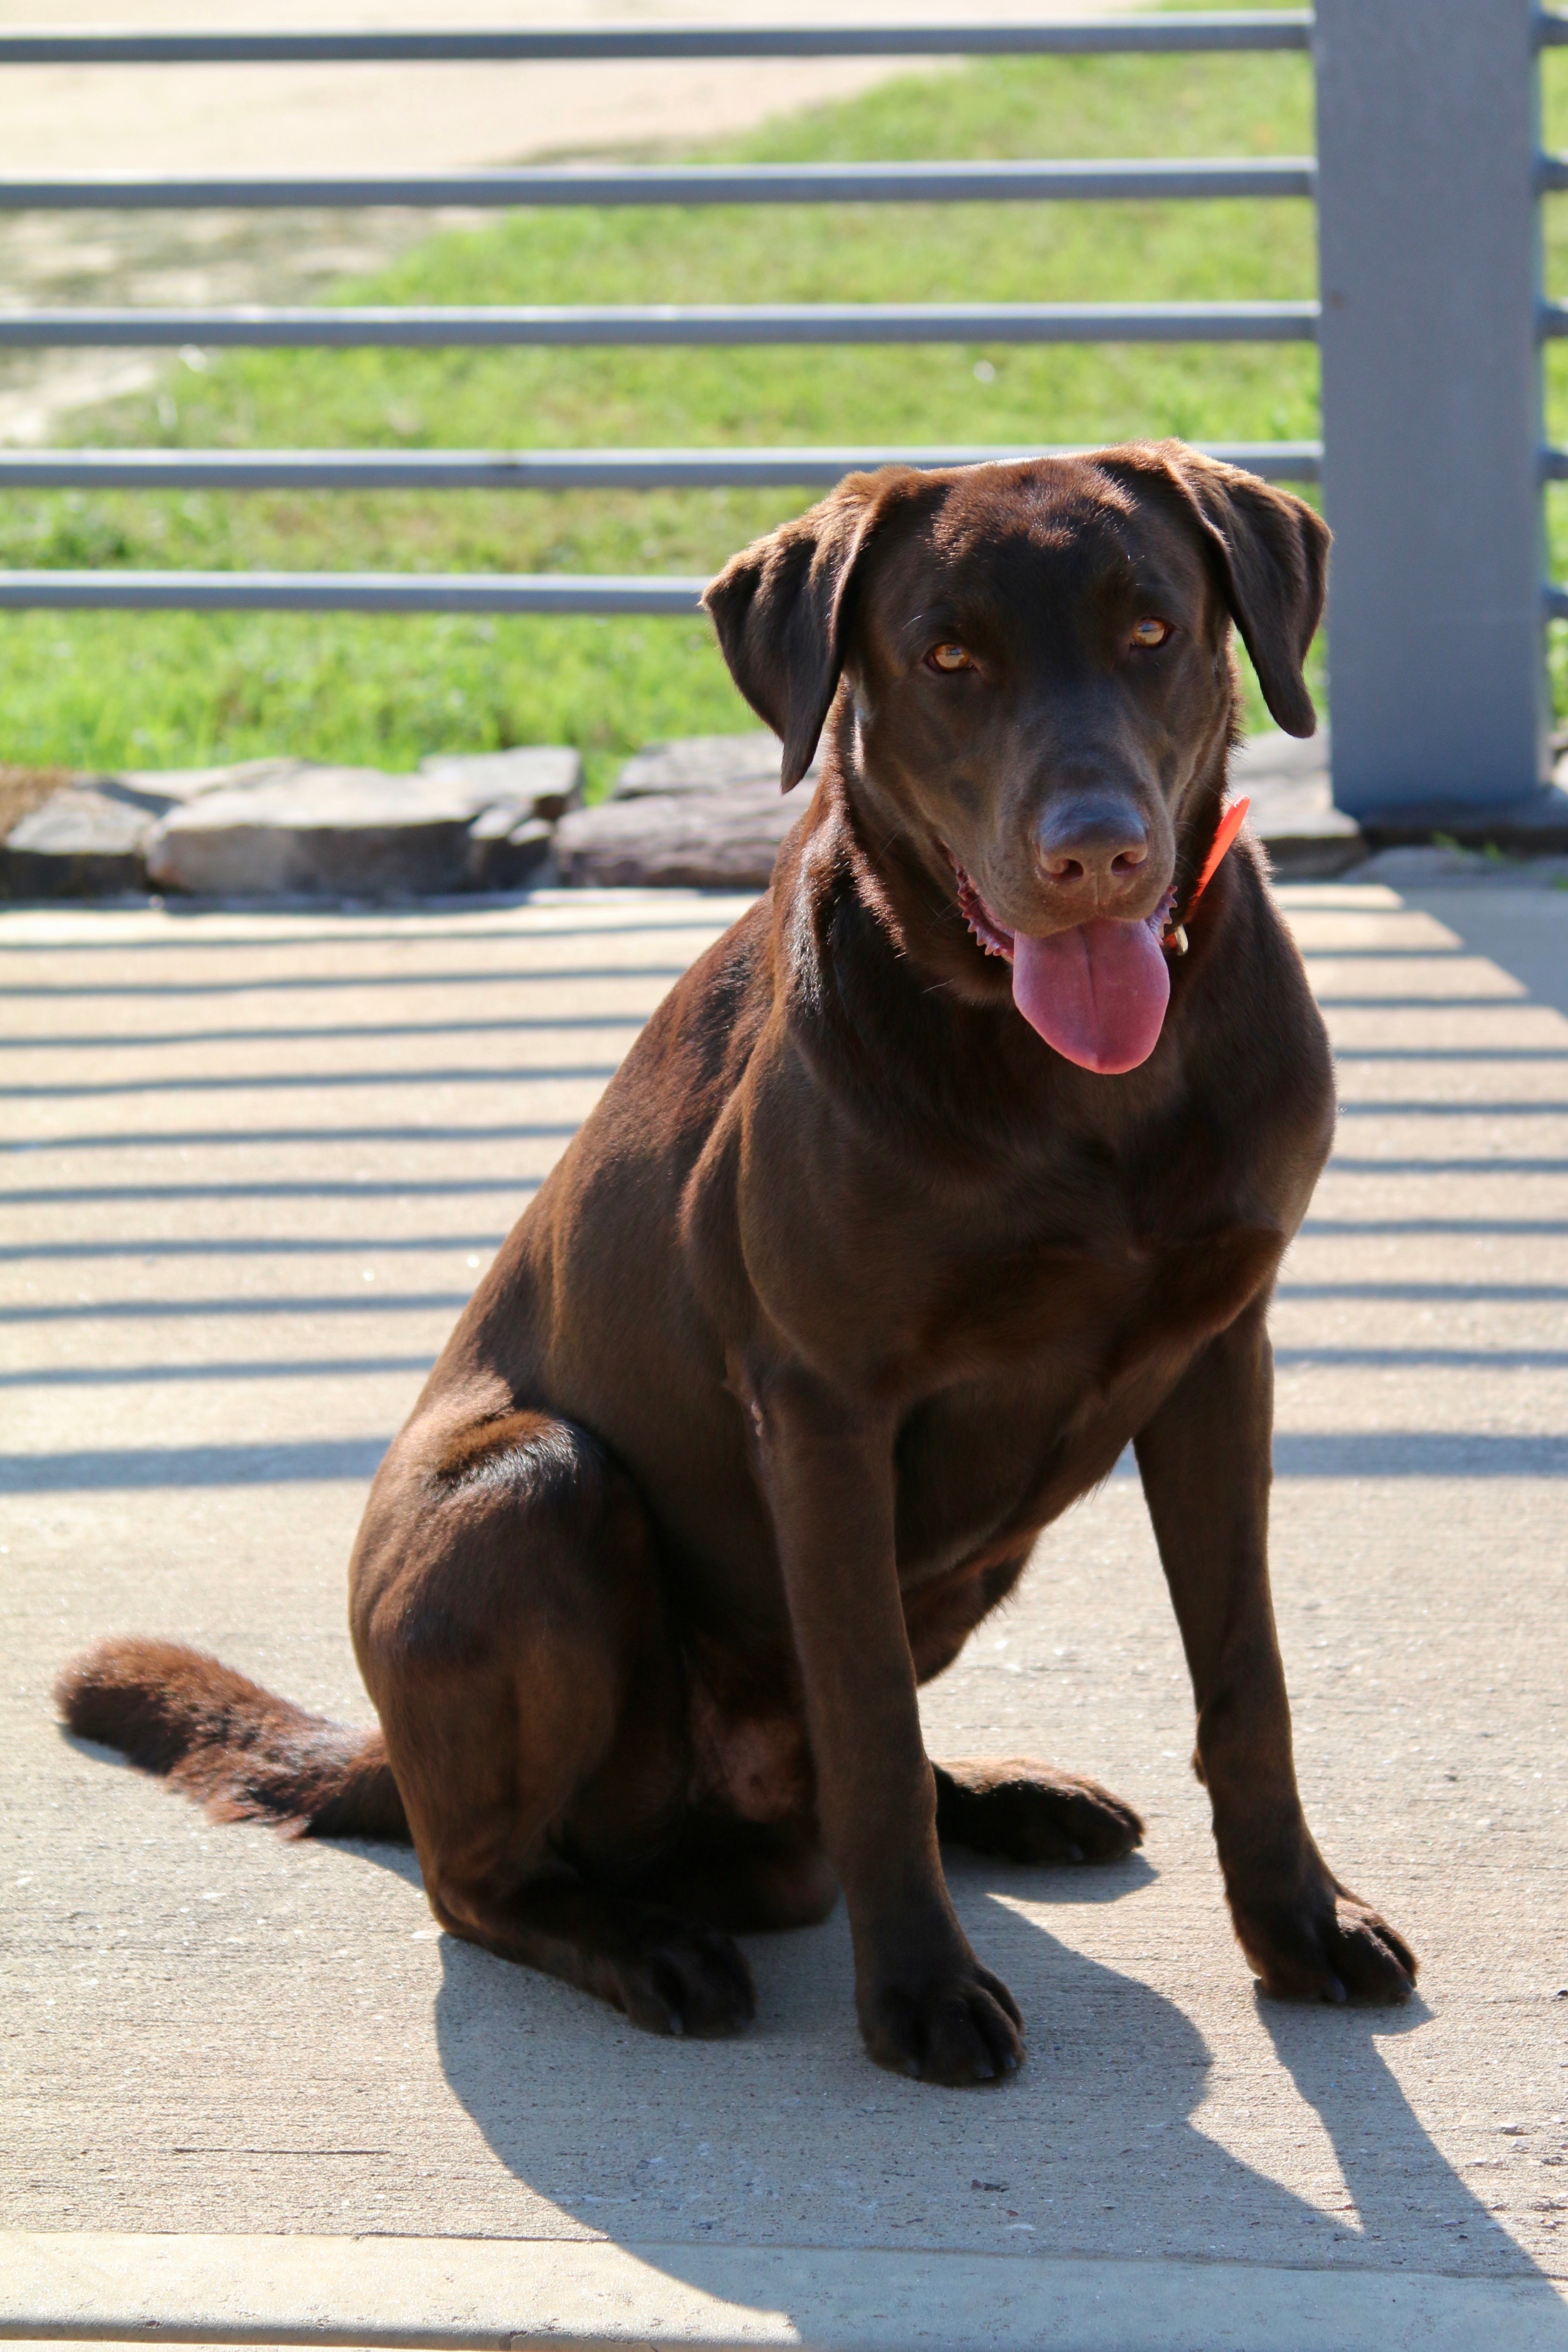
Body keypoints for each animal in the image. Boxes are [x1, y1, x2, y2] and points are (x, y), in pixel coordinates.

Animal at [55, 437, 1420, 2079]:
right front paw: (916, 1993)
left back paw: (997, 1800)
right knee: (493, 1871)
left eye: (1150, 628)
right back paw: (647, 1939)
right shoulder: (823, 1405)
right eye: (944, 657)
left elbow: (1243, 1681)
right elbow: (866, 1715)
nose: (1092, 853)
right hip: (528, 1494)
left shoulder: (1219, 1353)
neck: (1076, 1091)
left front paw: (1297, 1925)